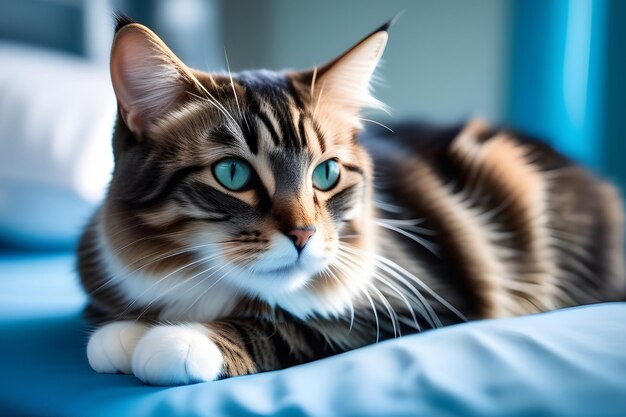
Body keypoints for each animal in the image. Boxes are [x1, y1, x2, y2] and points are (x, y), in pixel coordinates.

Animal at [78, 16, 624, 386]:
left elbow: (290, 326)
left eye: (327, 173)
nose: (303, 234)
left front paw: (179, 338)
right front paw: (125, 332)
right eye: (232, 174)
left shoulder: (420, 305)